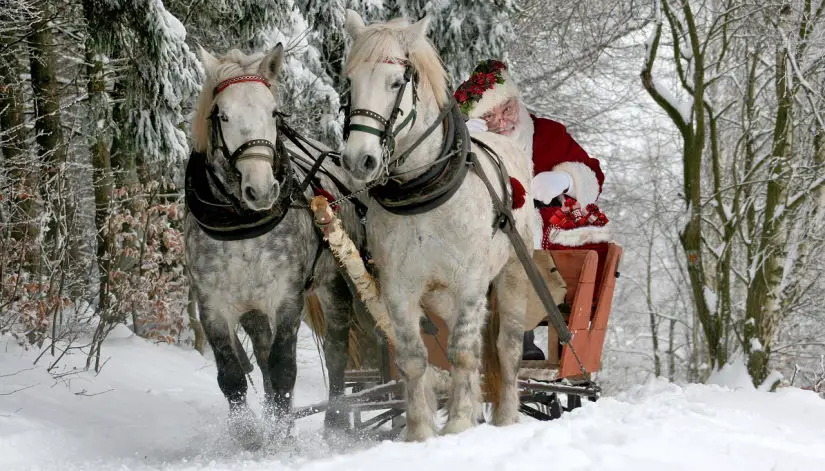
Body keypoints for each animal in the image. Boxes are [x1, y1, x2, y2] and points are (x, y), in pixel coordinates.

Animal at [340, 9, 536, 440]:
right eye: (350, 82)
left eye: (396, 82)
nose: (359, 160)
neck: (423, 193)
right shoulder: (398, 288)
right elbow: (414, 358)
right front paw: (420, 432)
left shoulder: (471, 282)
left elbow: (463, 352)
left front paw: (459, 423)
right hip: (441, 296)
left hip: (514, 275)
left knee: (506, 348)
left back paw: (506, 417)